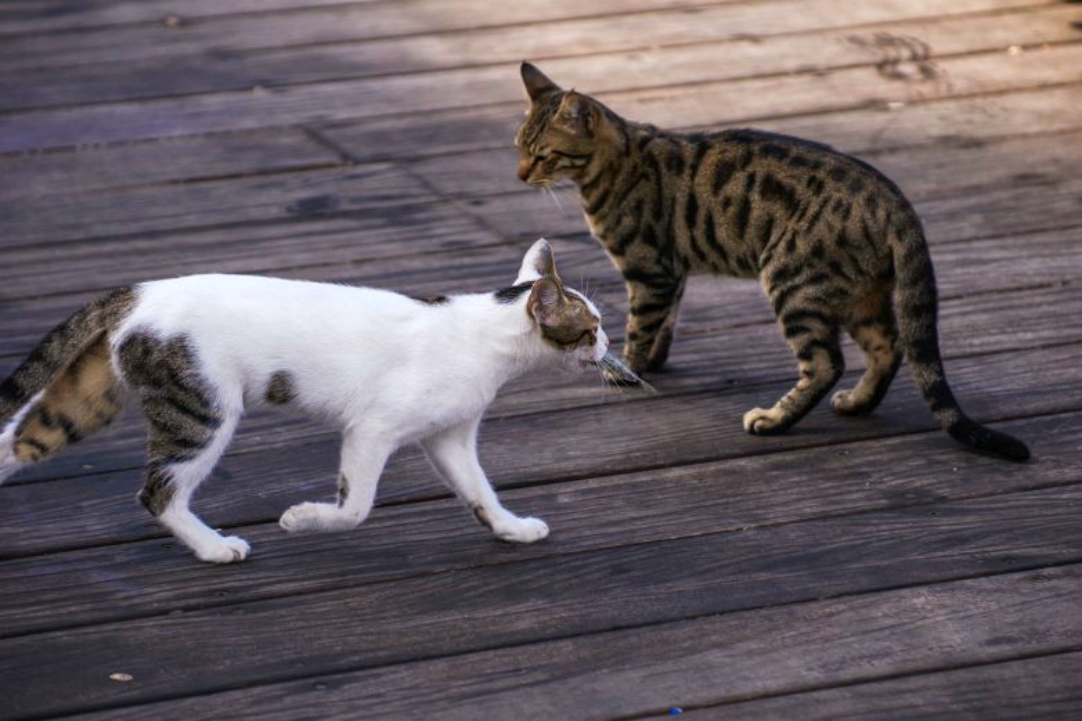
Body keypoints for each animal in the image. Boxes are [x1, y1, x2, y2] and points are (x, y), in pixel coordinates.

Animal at [0, 239, 609, 562]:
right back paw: (214, 547)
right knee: (158, 493)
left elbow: (480, 491)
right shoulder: (372, 429)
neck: (483, 334)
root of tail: (140, 292)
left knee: (17, 441)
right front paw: (301, 520)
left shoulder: (449, 437)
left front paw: (512, 528)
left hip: (88, 399)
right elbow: (355, 507)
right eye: (590, 327)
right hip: (203, 411)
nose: (608, 343)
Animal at [514, 62, 1028, 462]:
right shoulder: (672, 272)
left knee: (826, 362)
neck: (616, 161)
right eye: (519, 146)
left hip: (793, 282)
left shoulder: (648, 269)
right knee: (889, 345)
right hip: (858, 293)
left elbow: (641, 326)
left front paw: (626, 369)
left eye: (542, 155)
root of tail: (892, 197)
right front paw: (655, 361)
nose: (519, 174)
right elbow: (667, 321)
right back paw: (858, 403)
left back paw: (775, 418)